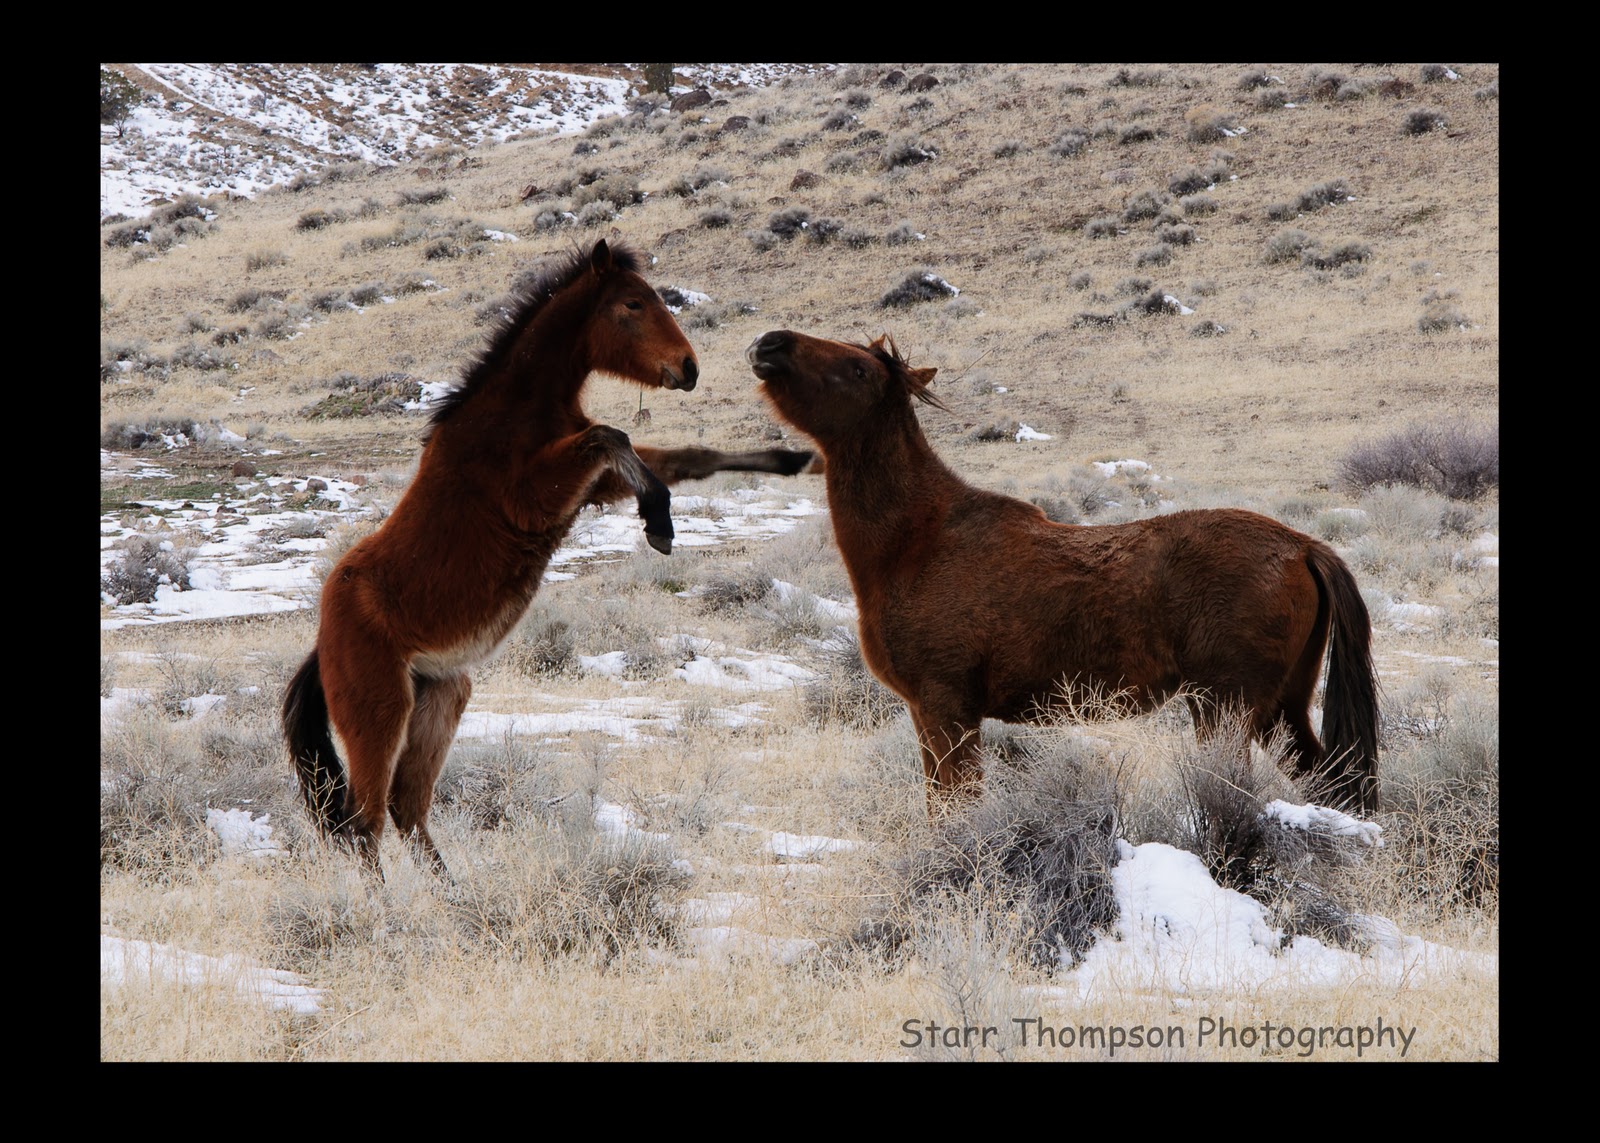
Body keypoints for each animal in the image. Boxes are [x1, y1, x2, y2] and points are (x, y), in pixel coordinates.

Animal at [282, 239, 814, 880]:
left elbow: (688, 455)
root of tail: (322, 644)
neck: (514, 412)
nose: (687, 368)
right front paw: (659, 523)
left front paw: (791, 459)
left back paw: (455, 899)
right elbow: (615, 437)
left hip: (441, 700)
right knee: (365, 825)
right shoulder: (536, 498)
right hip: (380, 717)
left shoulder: (591, 487)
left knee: (407, 811)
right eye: (632, 304)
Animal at [747, 330, 1379, 818]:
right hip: (1279, 709)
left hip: (1226, 710)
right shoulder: (927, 715)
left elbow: (955, 806)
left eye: (856, 368)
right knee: (1331, 780)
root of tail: (1302, 546)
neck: (921, 541)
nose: (770, 345)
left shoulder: (946, 710)